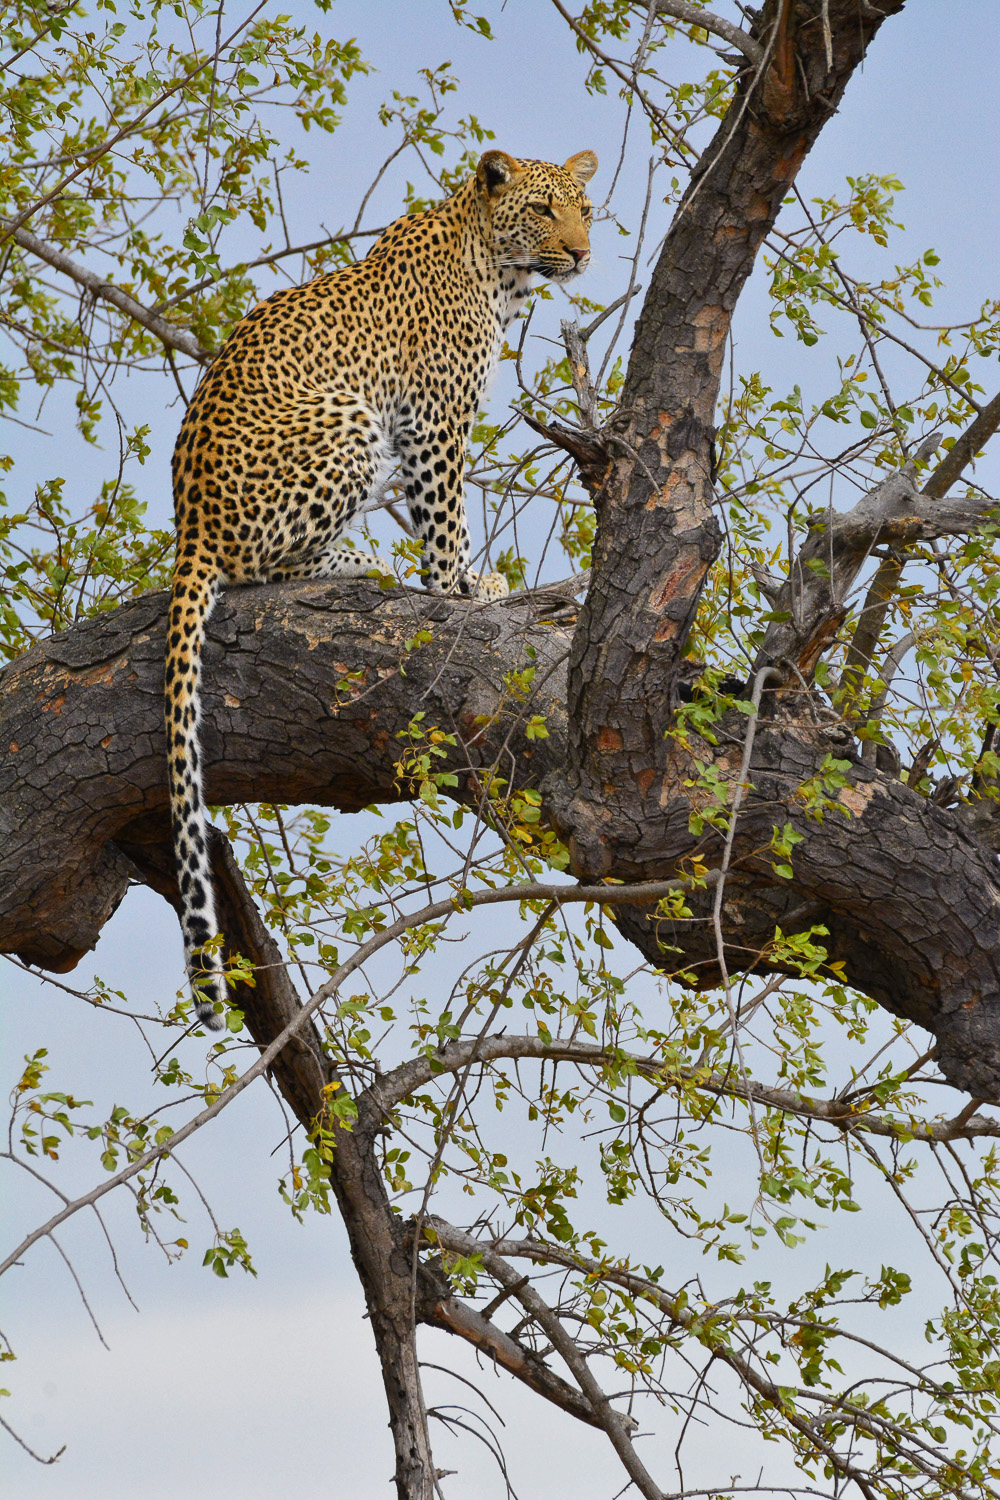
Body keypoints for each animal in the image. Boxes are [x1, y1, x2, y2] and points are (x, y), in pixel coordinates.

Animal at [165, 146, 597, 1029]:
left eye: (584, 208)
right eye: (542, 210)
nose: (580, 253)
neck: (495, 268)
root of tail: (191, 528)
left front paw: (470, 582)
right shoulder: (433, 421)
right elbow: (445, 517)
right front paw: (462, 589)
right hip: (349, 419)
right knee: (262, 568)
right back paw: (358, 563)